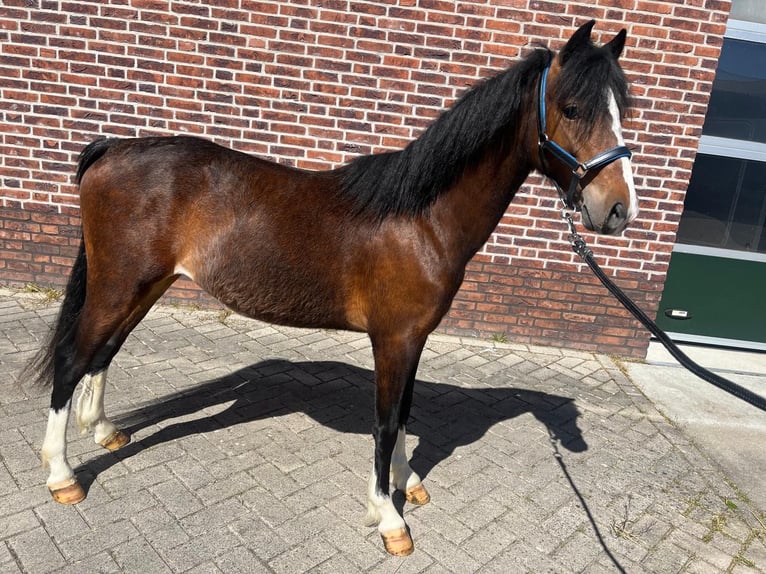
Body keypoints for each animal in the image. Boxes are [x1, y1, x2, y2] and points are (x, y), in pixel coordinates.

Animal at [25, 20, 637, 556]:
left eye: (622, 110)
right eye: (572, 108)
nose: (616, 210)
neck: (421, 218)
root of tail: (112, 149)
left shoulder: (413, 339)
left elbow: (405, 412)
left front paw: (408, 483)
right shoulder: (393, 339)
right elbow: (386, 422)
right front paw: (388, 518)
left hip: (144, 286)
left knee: (104, 351)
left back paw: (104, 431)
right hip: (118, 285)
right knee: (72, 357)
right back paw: (61, 474)